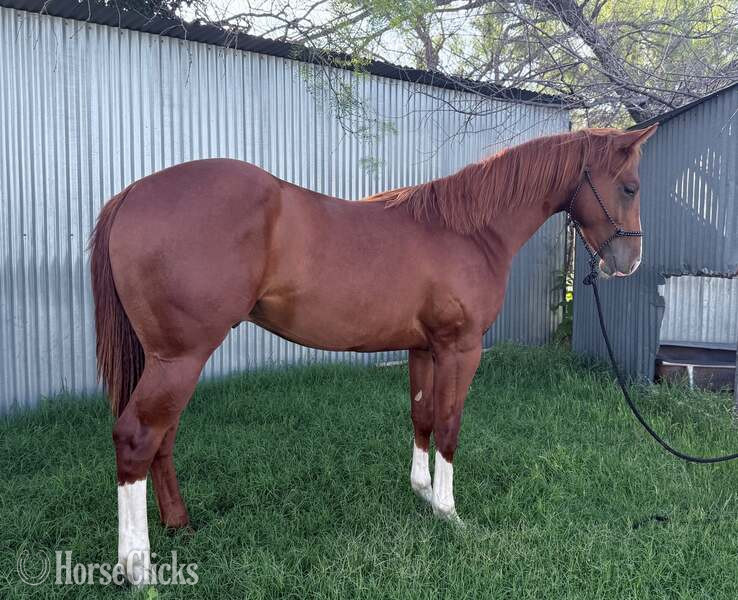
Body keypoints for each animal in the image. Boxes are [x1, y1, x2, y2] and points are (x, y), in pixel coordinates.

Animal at [90, 124, 657, 585]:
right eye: (630, 187)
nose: (629, 262)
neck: (469, 231)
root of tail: (133, 193)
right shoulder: (461, 349)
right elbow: (448, 425)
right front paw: (450, 512)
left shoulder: (423, 348)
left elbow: (422, 416)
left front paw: (422, 492)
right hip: (181, 358)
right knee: (137, 437)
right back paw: (138, 567)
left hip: (167, 360)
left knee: (161, 439)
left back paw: (179, 525)